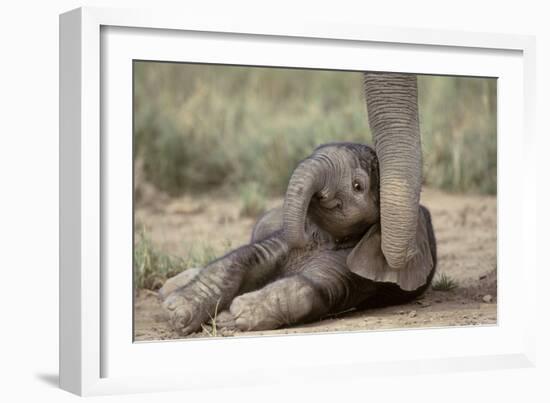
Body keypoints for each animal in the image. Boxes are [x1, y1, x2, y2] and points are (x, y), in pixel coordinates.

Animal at [162, 144, 438, 336]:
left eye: (358, 186)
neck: (324, 238)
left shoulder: (353, 271)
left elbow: (309, 288)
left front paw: (234, 314)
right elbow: (239, 260)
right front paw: (177, 311)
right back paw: (168, 289)